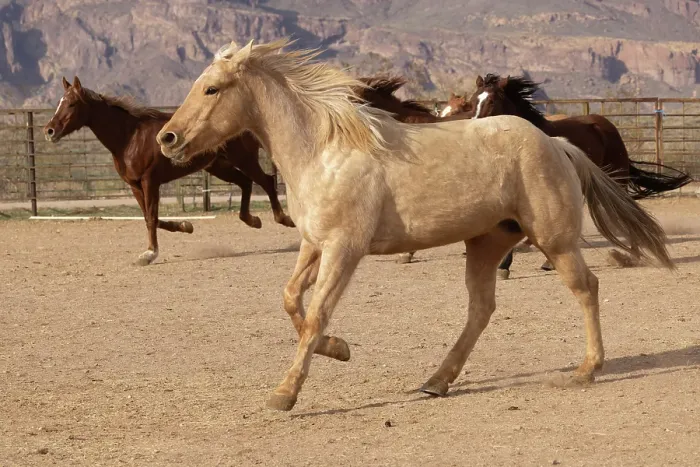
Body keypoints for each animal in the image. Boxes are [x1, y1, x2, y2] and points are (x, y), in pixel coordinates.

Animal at [43, 76, 296, 266]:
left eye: (72, 104)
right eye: (59, 103)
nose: (49, 131)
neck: (129, 137)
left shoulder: (149, 182)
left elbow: (151, 218)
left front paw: (149, 254)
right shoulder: (135, 185)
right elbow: (150, 218)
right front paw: (184, 226)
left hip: (243, 159)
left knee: (266, 181)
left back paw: (283, 218)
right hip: (218, 165)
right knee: (246, 183)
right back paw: (253, 220)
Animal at [446, 74, 692, 279]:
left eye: (492, 101)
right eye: (473, 100)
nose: (474, 128)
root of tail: (606, 125)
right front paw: (504, 266)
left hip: (616, 178)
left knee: (626, 211)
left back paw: (630, 255)